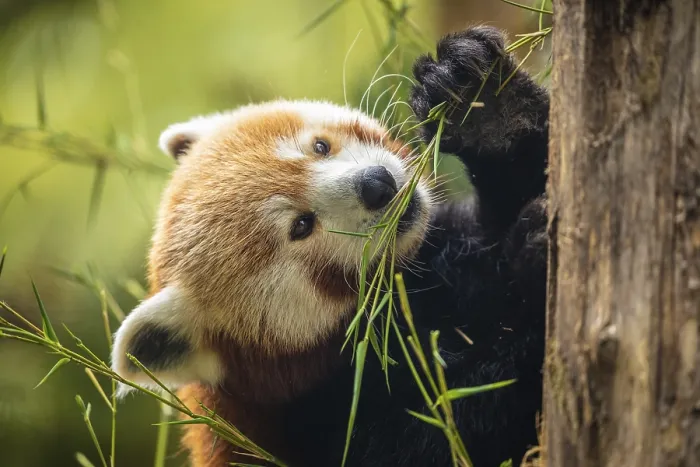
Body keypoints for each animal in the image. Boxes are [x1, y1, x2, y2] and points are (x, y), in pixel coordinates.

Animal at [111, 26, 550, 467]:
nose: (377, 185)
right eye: (301, 226)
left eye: (319, 147)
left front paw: (487, 112)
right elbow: (461, 420)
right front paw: (534, 292)